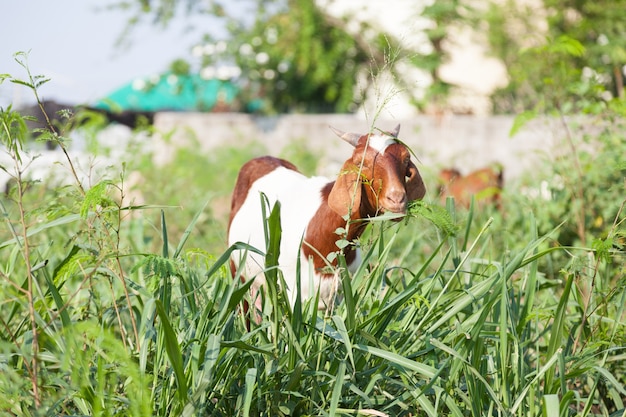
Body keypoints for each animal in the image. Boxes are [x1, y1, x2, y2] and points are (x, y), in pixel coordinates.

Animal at [224, 123, 424, 316]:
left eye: (406, 159)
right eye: (361, 162)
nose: (396, 199)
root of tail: (263, 158)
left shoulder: (340, 296)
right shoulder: (293, 295)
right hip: (238, 269)